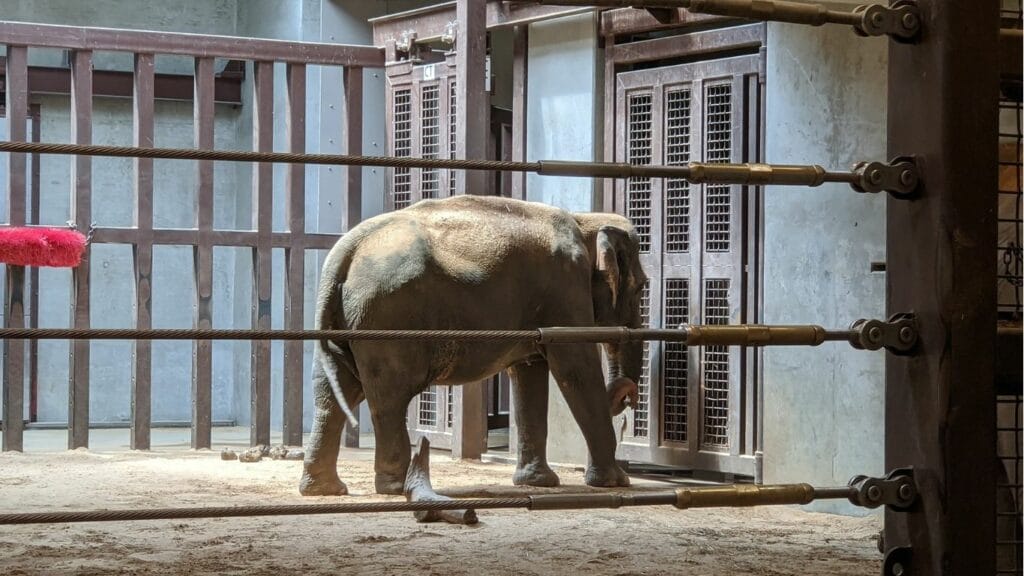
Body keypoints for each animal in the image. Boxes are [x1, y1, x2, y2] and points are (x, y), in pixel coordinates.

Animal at [299, 195, 647, 496]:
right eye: (642, 288)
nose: (626, 398)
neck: (584, 219)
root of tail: (344, 253)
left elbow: (529, 373)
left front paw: (537, 483)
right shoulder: (566, 289)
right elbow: (576, 369)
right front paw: (616, 482)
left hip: (344, 321)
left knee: (331, 394)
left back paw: (324, 489)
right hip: (386, 320)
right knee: (389, 398)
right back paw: (395, 487)